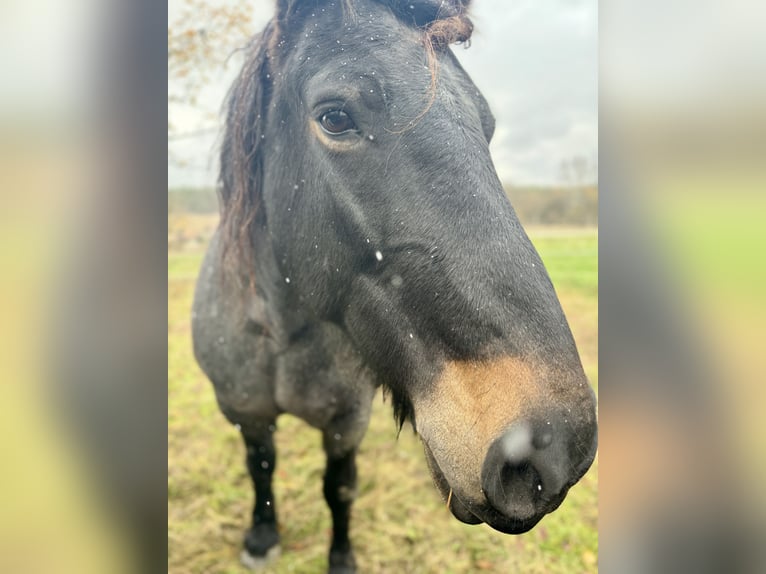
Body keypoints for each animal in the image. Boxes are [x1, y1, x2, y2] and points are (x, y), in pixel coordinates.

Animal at [194, 2, 600, 572]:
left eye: (487, 127)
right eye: (335, 117)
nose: (555, 445)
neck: (282, 335)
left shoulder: (347, 421)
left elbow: (339, 488)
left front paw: (341, 557)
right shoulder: (245, 414)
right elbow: (262, 469)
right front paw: (261, 537)